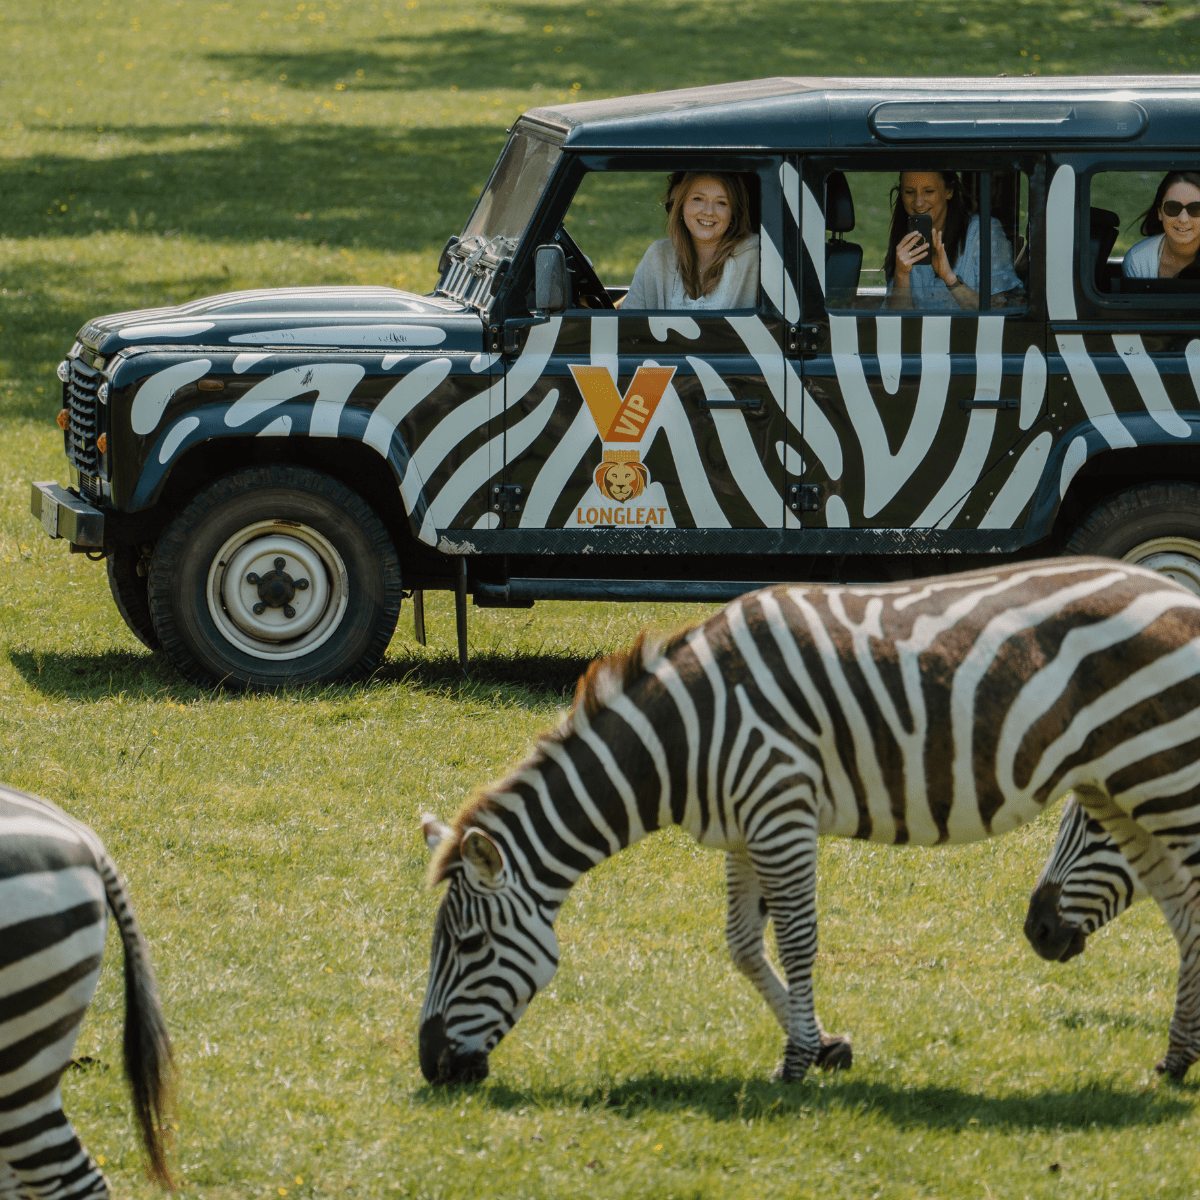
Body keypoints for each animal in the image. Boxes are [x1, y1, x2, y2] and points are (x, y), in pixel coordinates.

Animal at [418, 557, 1200, 1085]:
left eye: (468, 945)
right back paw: (1175, 1059)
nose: (430, 1067)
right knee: (1184, 912)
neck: (686, 737)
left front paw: (795, 1063)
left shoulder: (779, 809)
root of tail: (1177, 591)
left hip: (1162, 776)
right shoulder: (741, 829)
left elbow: (796, 941)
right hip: (1121, 788)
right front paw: (825, 1047)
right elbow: (741, 945)